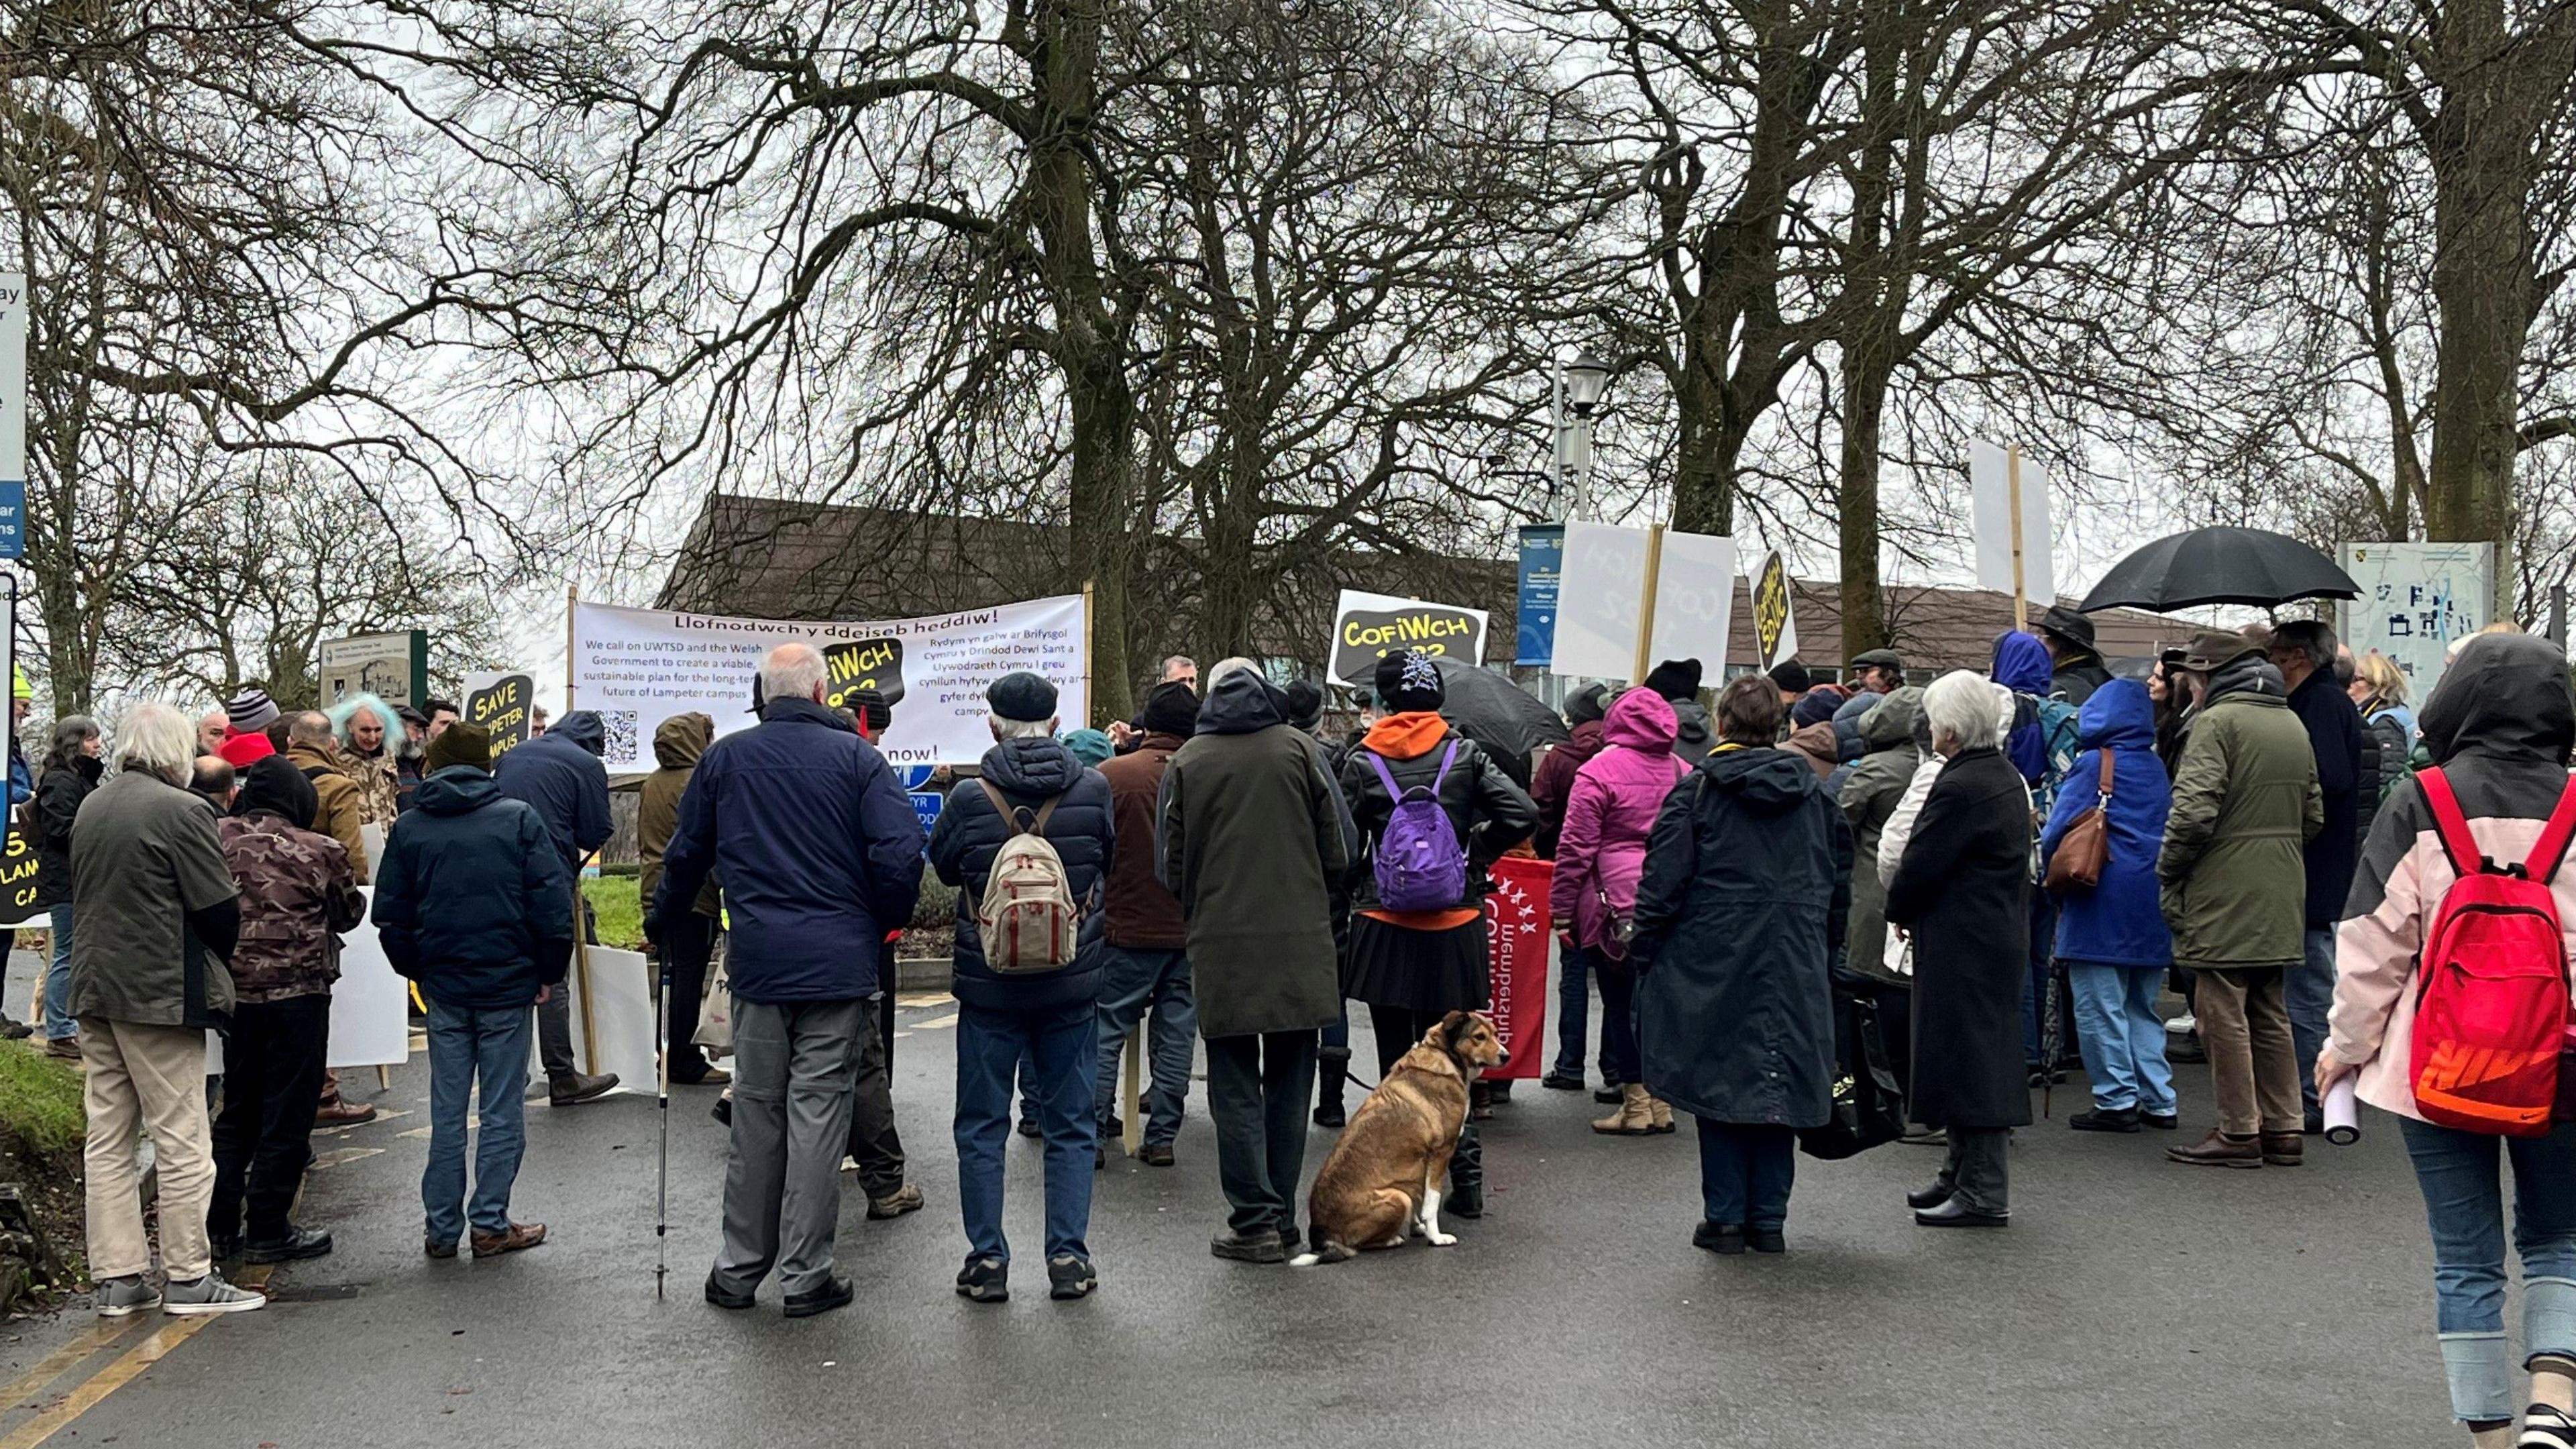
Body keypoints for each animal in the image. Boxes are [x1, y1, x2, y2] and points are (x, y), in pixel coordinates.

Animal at [1298, 1010, 1504, 1258]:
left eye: (1495, 1033)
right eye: (1479, 1037)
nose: (1507, 1056)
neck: (1443, 1054)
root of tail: (1321, 1234)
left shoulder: (1419, 1165)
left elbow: (1420, 1199)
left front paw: (1419, 1228)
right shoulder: (1441, 1153)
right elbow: (1431, 1202)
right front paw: (1436, 1238)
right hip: (1398, 1197)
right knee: (1357, 1246)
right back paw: (1393, 1239)